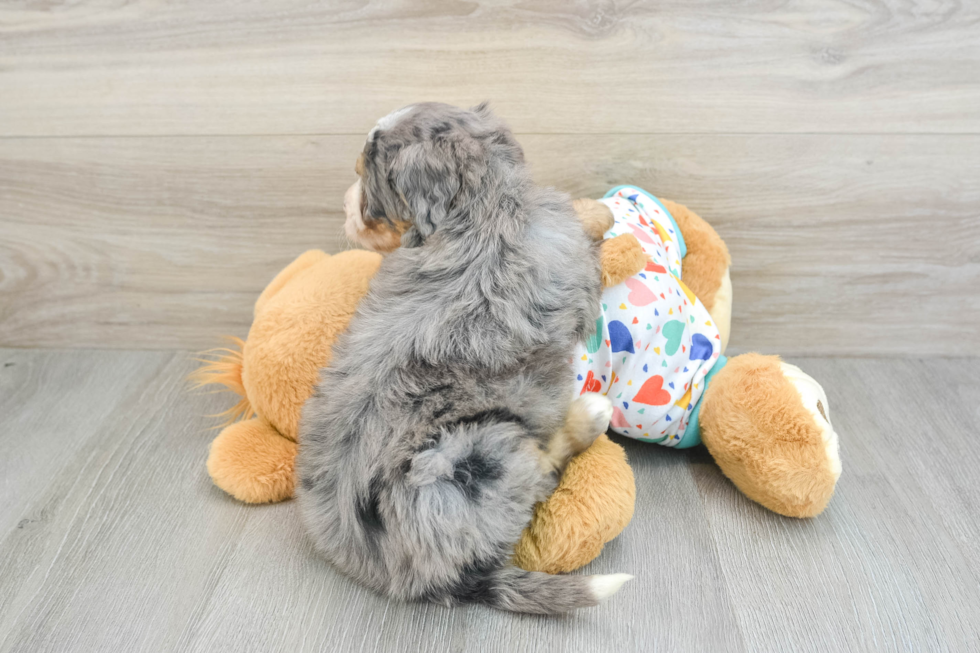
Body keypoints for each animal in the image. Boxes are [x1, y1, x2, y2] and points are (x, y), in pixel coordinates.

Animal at [298, 100, 632, 612]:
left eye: (363, 176)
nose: (346, 208)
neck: (480, 203)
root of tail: (418, 579)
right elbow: (580, 218)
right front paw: (602, 211)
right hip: (469, 459)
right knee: (540, 469)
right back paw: (588, 415)